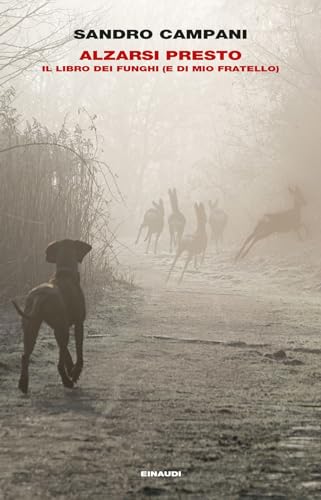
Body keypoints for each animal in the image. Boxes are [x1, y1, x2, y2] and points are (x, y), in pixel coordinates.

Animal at [12, 239, 91, 394]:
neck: (65, 273)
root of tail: (40, 295)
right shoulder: (78, 323)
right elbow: (78, 351)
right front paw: (75, 372)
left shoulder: (58, 328)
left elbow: (66, 352)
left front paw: (70, 368)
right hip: (58, 328)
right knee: (58, 364)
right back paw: (67, 381)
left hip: (31, 327)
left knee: (25, 356)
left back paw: (23, 383)